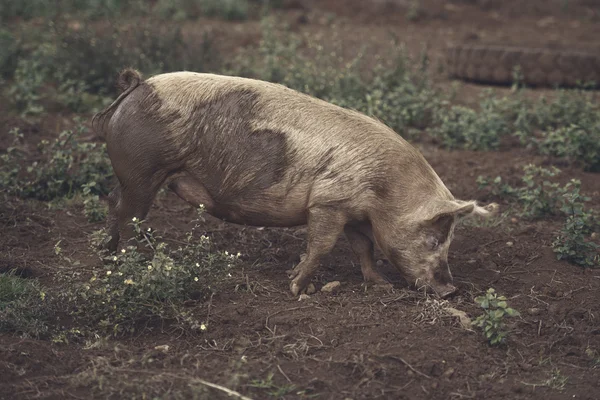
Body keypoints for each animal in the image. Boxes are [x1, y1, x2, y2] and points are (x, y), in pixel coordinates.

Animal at [94, 69, 496, 298]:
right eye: (434, 239)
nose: (450, 290)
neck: (385, 191)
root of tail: (137, 86)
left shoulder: (354, 213)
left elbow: (364, 248)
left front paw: (379, 284)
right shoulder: (328, 203)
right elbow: (321, 246)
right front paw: (296, 288)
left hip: (132, 175)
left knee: (114, 202)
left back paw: (107, 253)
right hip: (143, 170)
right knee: (129, 213)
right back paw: (128, 260)